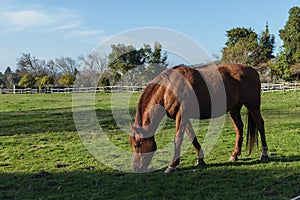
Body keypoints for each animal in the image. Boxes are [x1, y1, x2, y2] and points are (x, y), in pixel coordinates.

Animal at [129, 63, 270, 173]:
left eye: (138, 144)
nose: (136, 168)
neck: (168, 88)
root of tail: (253, 71)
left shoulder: (182, 115)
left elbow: (178, 139)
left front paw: (172, 166)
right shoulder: (182, 117)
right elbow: (192, 137)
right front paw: (200, 160)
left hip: (253, 106)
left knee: (260, 125)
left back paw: (264, 153)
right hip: (234, 109)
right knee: (239, 128)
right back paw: (234, 155)